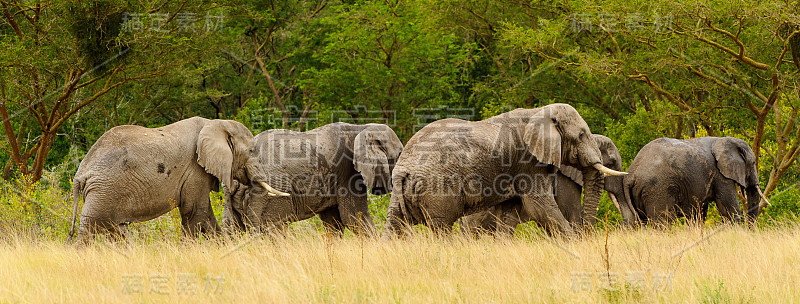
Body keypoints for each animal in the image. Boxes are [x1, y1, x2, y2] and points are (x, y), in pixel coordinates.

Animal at [67, 117, 288, 245]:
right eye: (251, 151)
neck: (215, 123)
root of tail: (80, 175)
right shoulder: (194, 169)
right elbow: (196, 212)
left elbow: (204, 214)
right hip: (103, 192)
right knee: (89, 231)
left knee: (116, 230)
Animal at [222, 122, 404, 236]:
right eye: (399, 155)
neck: (361, 128)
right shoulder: (348, 174)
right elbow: (354, 217)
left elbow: (334, 223)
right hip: (272, 194)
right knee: (274, 230)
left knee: (230, 229)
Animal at [612, 137, 768, 224]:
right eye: (753, 163)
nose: (750, 231)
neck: (726, 140)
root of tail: (630, 174)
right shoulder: (720, 176)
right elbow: (728, 208)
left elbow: (698, 214)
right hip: (657, 189)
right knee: (662, 222)